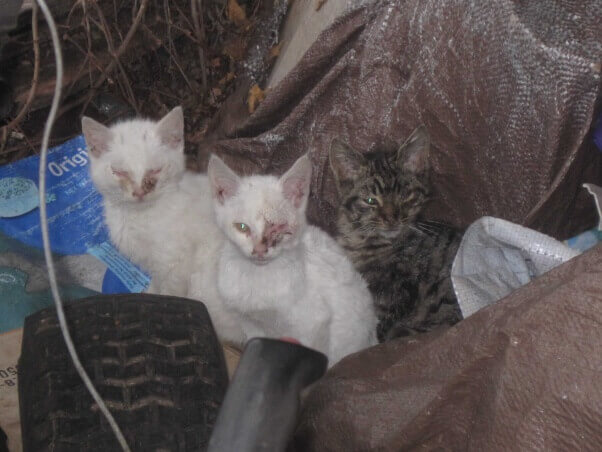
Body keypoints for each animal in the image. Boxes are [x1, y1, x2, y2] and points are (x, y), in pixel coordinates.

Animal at [81, 106, 214, 296]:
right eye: (119, 172)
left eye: (155, 170)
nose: (139, 192)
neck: (139, 218)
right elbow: (157, 282)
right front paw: (150, 292)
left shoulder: (175, 264)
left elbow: (170, 292)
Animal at [206, 154, 376, 366]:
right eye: (242, 227)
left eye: (280, 229)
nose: (259, 250)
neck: (259, 277)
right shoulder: (249, 321)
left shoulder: (315, 323)